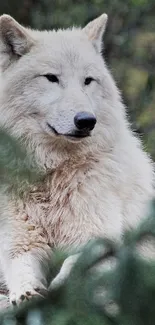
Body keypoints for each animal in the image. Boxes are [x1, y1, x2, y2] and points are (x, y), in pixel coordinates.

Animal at [0, 13, 154, 304]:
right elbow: (21, 267)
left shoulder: (96, 240)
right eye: (51, 78)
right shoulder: (20, 242)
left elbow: (73, 269)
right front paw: (26, 293)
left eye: (88, 80)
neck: (50, 173)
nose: (86, 121)